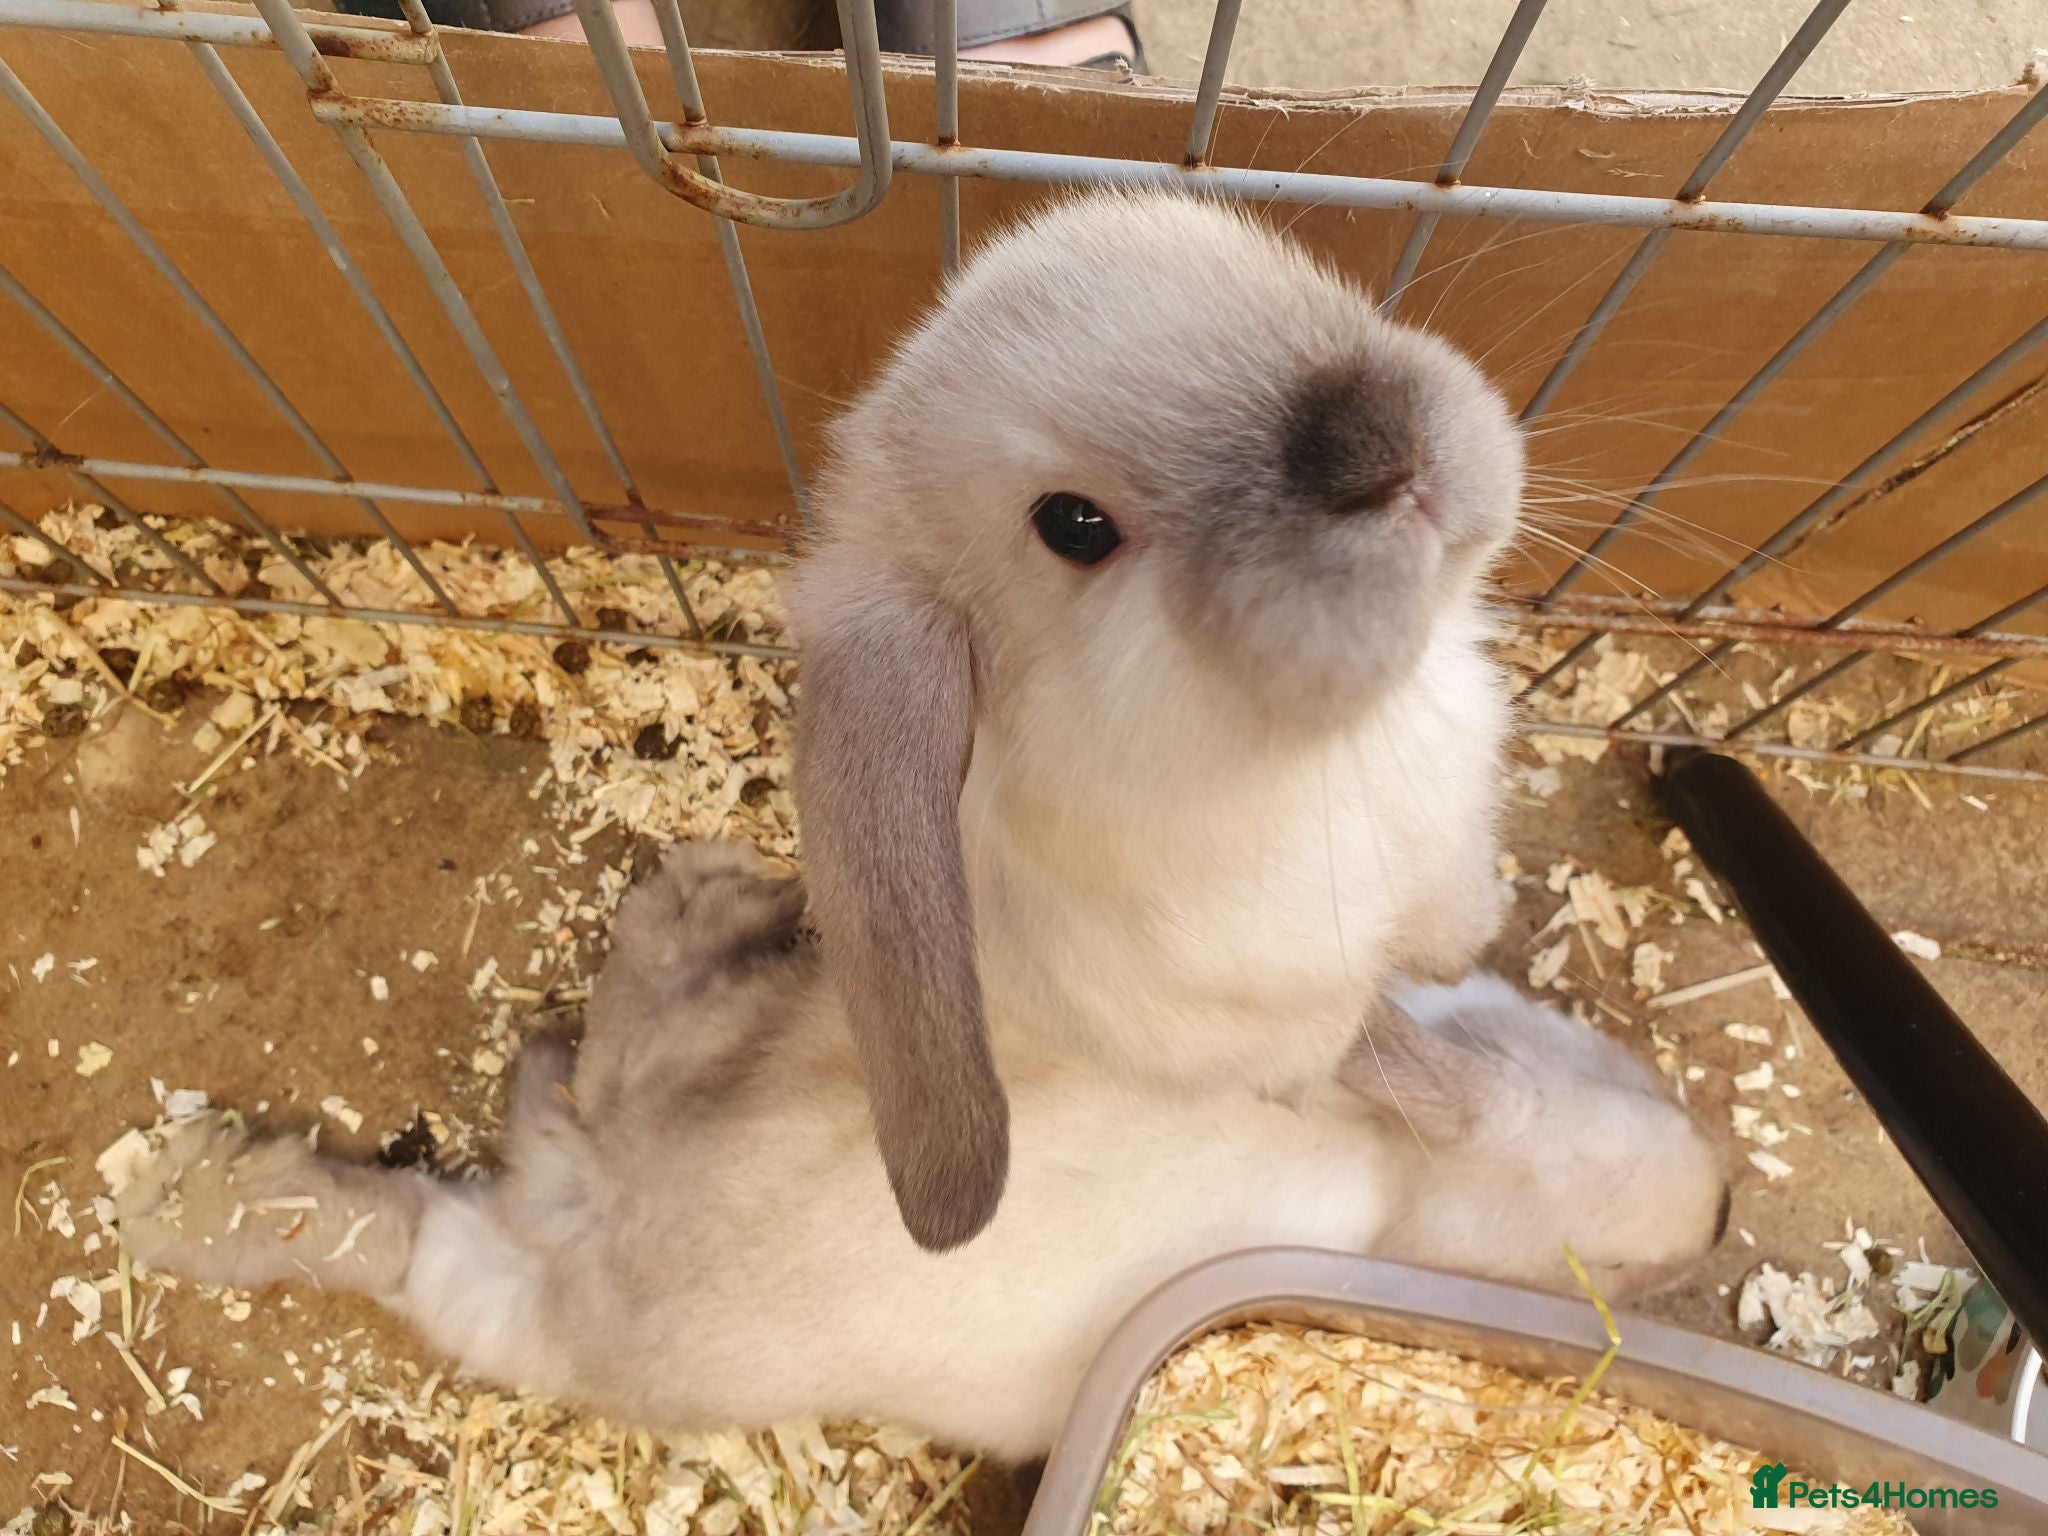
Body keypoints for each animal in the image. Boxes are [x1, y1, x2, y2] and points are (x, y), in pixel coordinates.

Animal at [116, 843, 1727, 1464]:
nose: (1720, 1209)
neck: (1395, 1173)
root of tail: (605, 1207)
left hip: (817, 1040)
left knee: (468, 1188)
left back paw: (194, 1192)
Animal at [786, 187, 1526, 1249]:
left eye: (1275, 263)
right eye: (1074, 525)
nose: (1387, 451)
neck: (1326, 753)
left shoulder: (1454, 837)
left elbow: (1450, 919)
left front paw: (1464, 954)